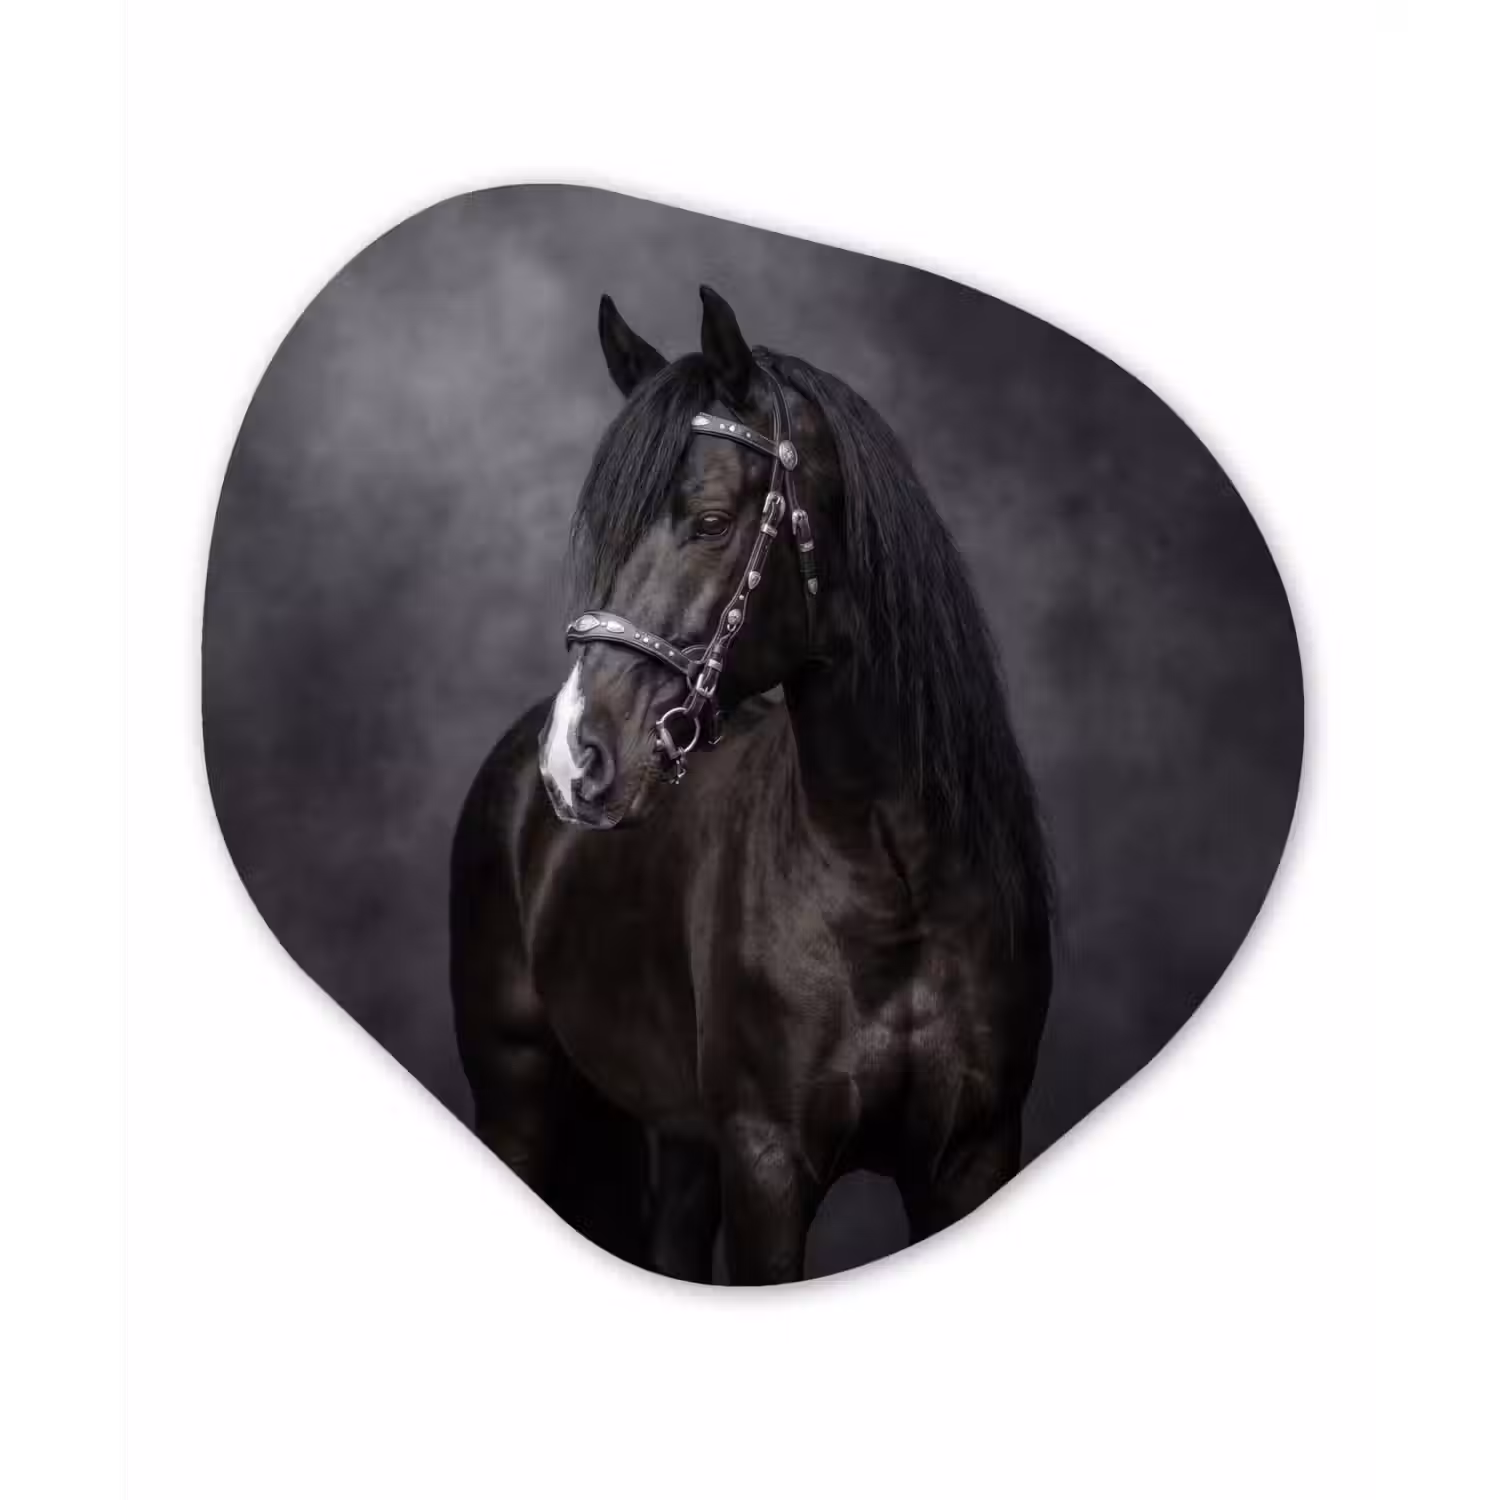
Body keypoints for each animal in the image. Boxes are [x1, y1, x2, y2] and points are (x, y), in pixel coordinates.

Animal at [450, 286, 1053, 1284]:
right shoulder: (767, 1162)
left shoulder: (972, 1152)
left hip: (682, 1137)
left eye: (709, 521)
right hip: (519, 1101)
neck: (895, 881)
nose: (575, 757)